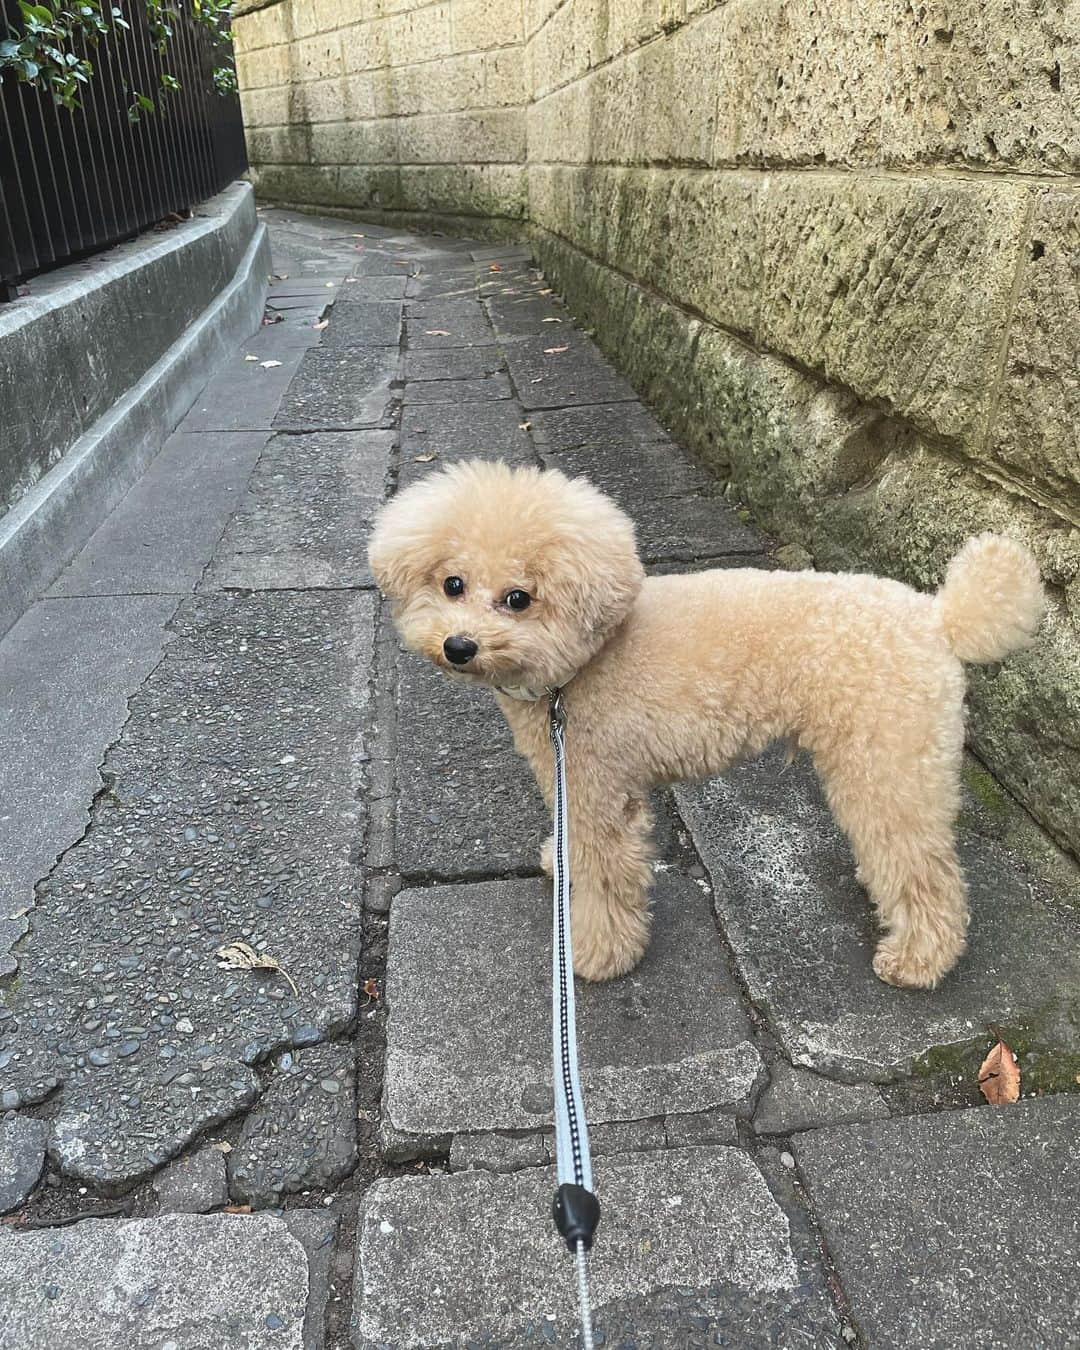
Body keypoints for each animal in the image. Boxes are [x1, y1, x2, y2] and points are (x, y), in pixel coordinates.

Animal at [372, 459, 1047, 988]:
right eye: (452, 584)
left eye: (519, 598)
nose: (459, 646)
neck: (578, 668)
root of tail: (939, 617)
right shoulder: (573, 779)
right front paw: (557, 863)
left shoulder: (598, 786)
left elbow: (607, 876)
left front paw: (597, 956)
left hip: (888, 757)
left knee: (924, 869)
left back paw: (917, 960)